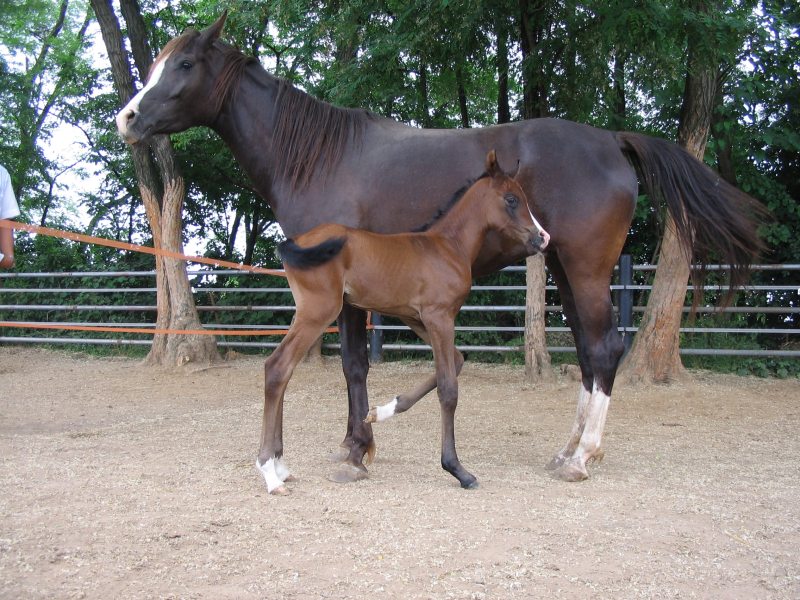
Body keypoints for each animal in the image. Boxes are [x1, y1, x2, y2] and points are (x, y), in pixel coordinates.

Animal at [258, 152, 552, 494]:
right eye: (511, 199)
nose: (542, 237)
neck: (448, 245)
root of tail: (295, 241)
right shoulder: (439, 317)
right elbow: (449, 388)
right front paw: (458, 469)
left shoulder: (415, 317)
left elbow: (456, 361)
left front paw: (380, 412)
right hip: (319, 311)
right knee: (278, 367)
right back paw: (269, 472)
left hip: (309, 311)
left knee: (283, 370)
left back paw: (280, 466)